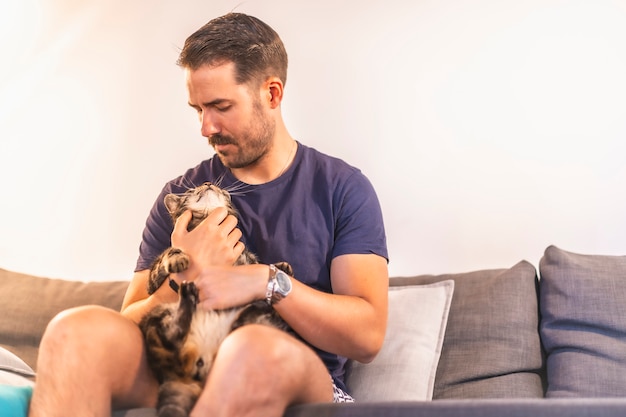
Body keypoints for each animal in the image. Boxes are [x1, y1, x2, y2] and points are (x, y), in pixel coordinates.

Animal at [139, 182, 290, 416]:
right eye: (190, 191)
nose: (207, 183)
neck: (206, 218)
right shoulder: (152, 280)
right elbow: (168, 252)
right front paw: (178, 258)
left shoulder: (248, 260)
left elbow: (255, 266)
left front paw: (276, 270)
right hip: (156, 316)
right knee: (173, 334)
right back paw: (188, 294)